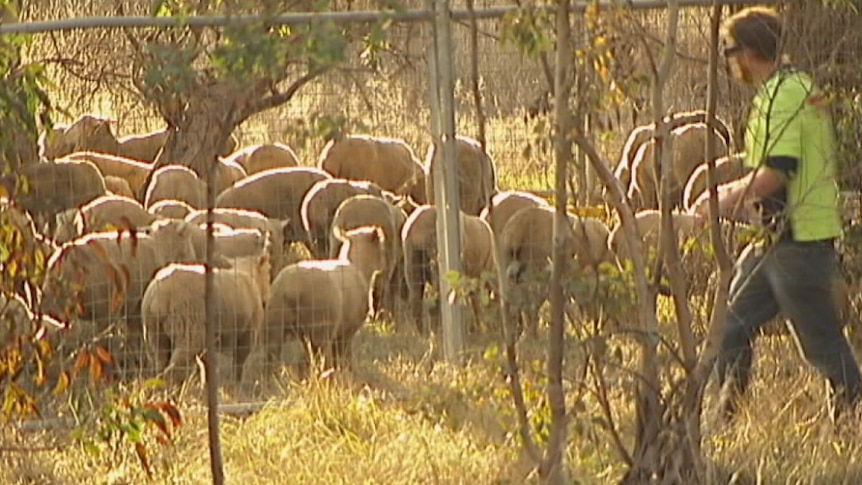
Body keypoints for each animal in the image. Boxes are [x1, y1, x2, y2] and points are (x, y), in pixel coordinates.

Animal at [142, 240, 270, 384]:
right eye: (268, 271)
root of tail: (159, 294)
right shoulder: (247, 334)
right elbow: (238, 365)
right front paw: (236, 385)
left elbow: (207, 366)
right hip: (188, 328)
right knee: (174, 370)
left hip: (154, 333)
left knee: (159, 366)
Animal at [262, 226, 386, 370]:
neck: (360, 266)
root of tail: (291, 287)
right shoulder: (347, 332)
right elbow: (344, 357)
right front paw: (347, 371)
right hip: (320, 330)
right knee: (323, 360)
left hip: (274, 326)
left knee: (271, 359)